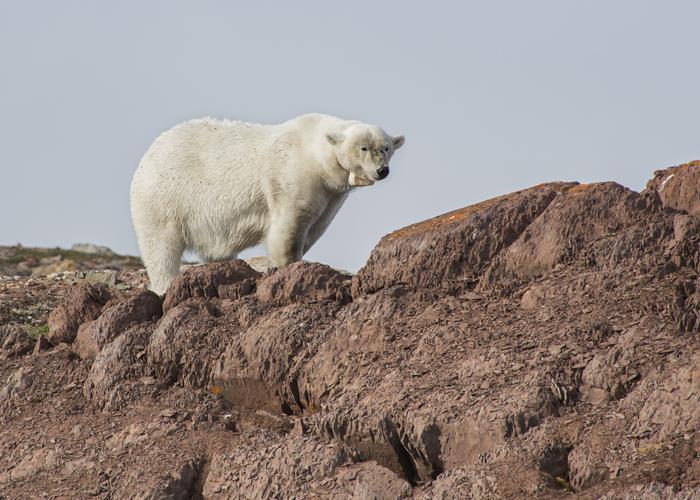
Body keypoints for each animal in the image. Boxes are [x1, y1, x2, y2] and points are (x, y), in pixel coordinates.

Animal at [130, 113, 404, 292]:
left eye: (386, 148)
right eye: (364, 148)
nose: (382, 170)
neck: (313, 149)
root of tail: (148, 155)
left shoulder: (330, 195)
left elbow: (315, 226)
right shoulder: (290, 175)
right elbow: (288, 226)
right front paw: (288, 265)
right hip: (163, 199)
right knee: (161, 247)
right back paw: (165, 285)